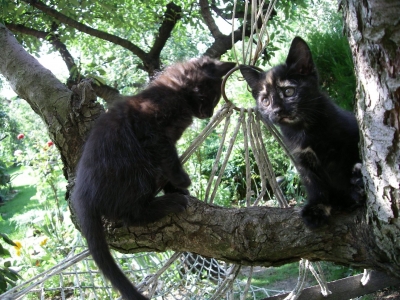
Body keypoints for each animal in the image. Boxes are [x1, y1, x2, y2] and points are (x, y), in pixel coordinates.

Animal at [70, 56, 236, 300]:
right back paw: (171, 202)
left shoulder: (166, 140)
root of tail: (83, 194)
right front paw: (182, 182)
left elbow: (168, 165)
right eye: (211, 98)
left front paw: (176, 187)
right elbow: (170, 159)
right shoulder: (153, 134)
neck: (176, 92)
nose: (207, 114)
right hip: (138, 169)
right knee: (131, 214)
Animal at [239, 37, 364, 229]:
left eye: (288, 91)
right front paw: (317, 207)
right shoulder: (303, 161)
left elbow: (343, 170)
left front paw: (351, 195)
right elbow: (315, 185)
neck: (303, 129)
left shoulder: (347, 144)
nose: (277, 111)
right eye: (265, 100)